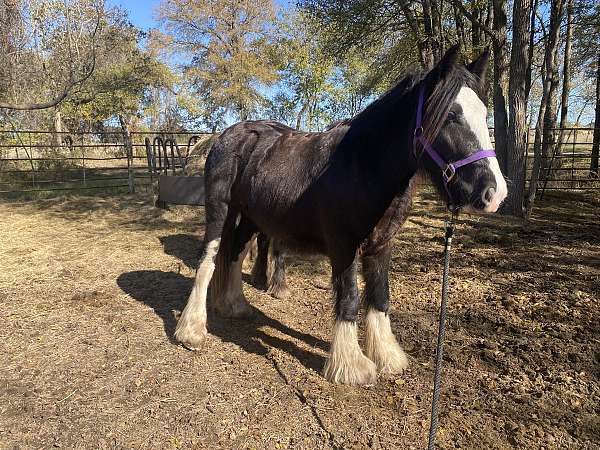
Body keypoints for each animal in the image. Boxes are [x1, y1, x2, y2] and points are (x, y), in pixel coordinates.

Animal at [173, 44, 506, 384]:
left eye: (484, 114)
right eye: (451, 116)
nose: (494, 194)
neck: (363, 166)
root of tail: (228, 135)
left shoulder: (381, 246)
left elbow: (380, 296)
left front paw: (387, 357)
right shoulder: (343, 246)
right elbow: (349, 297)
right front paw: (351, 366)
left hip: (251, 216)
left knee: (236, 254)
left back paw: (235, 306)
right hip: (220, 210)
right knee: (208, 259)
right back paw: (192, 331)